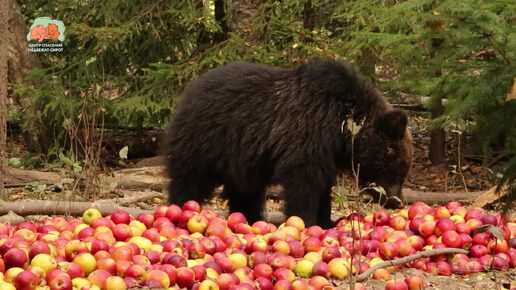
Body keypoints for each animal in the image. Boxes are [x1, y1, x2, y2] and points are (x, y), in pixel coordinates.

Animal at [161, 57, 412, 228]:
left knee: (246, 191)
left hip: (243, 161)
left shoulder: (326, 152)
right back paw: (180, 207)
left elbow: (323, 187)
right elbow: (304, 183)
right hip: (206, 140)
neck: (341, 127)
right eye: (397, 170)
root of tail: (190, 90)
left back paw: (250, 218)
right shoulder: (306, 136)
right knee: (190, 179)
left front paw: (326, 221)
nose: (397, 201)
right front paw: (307, 220)